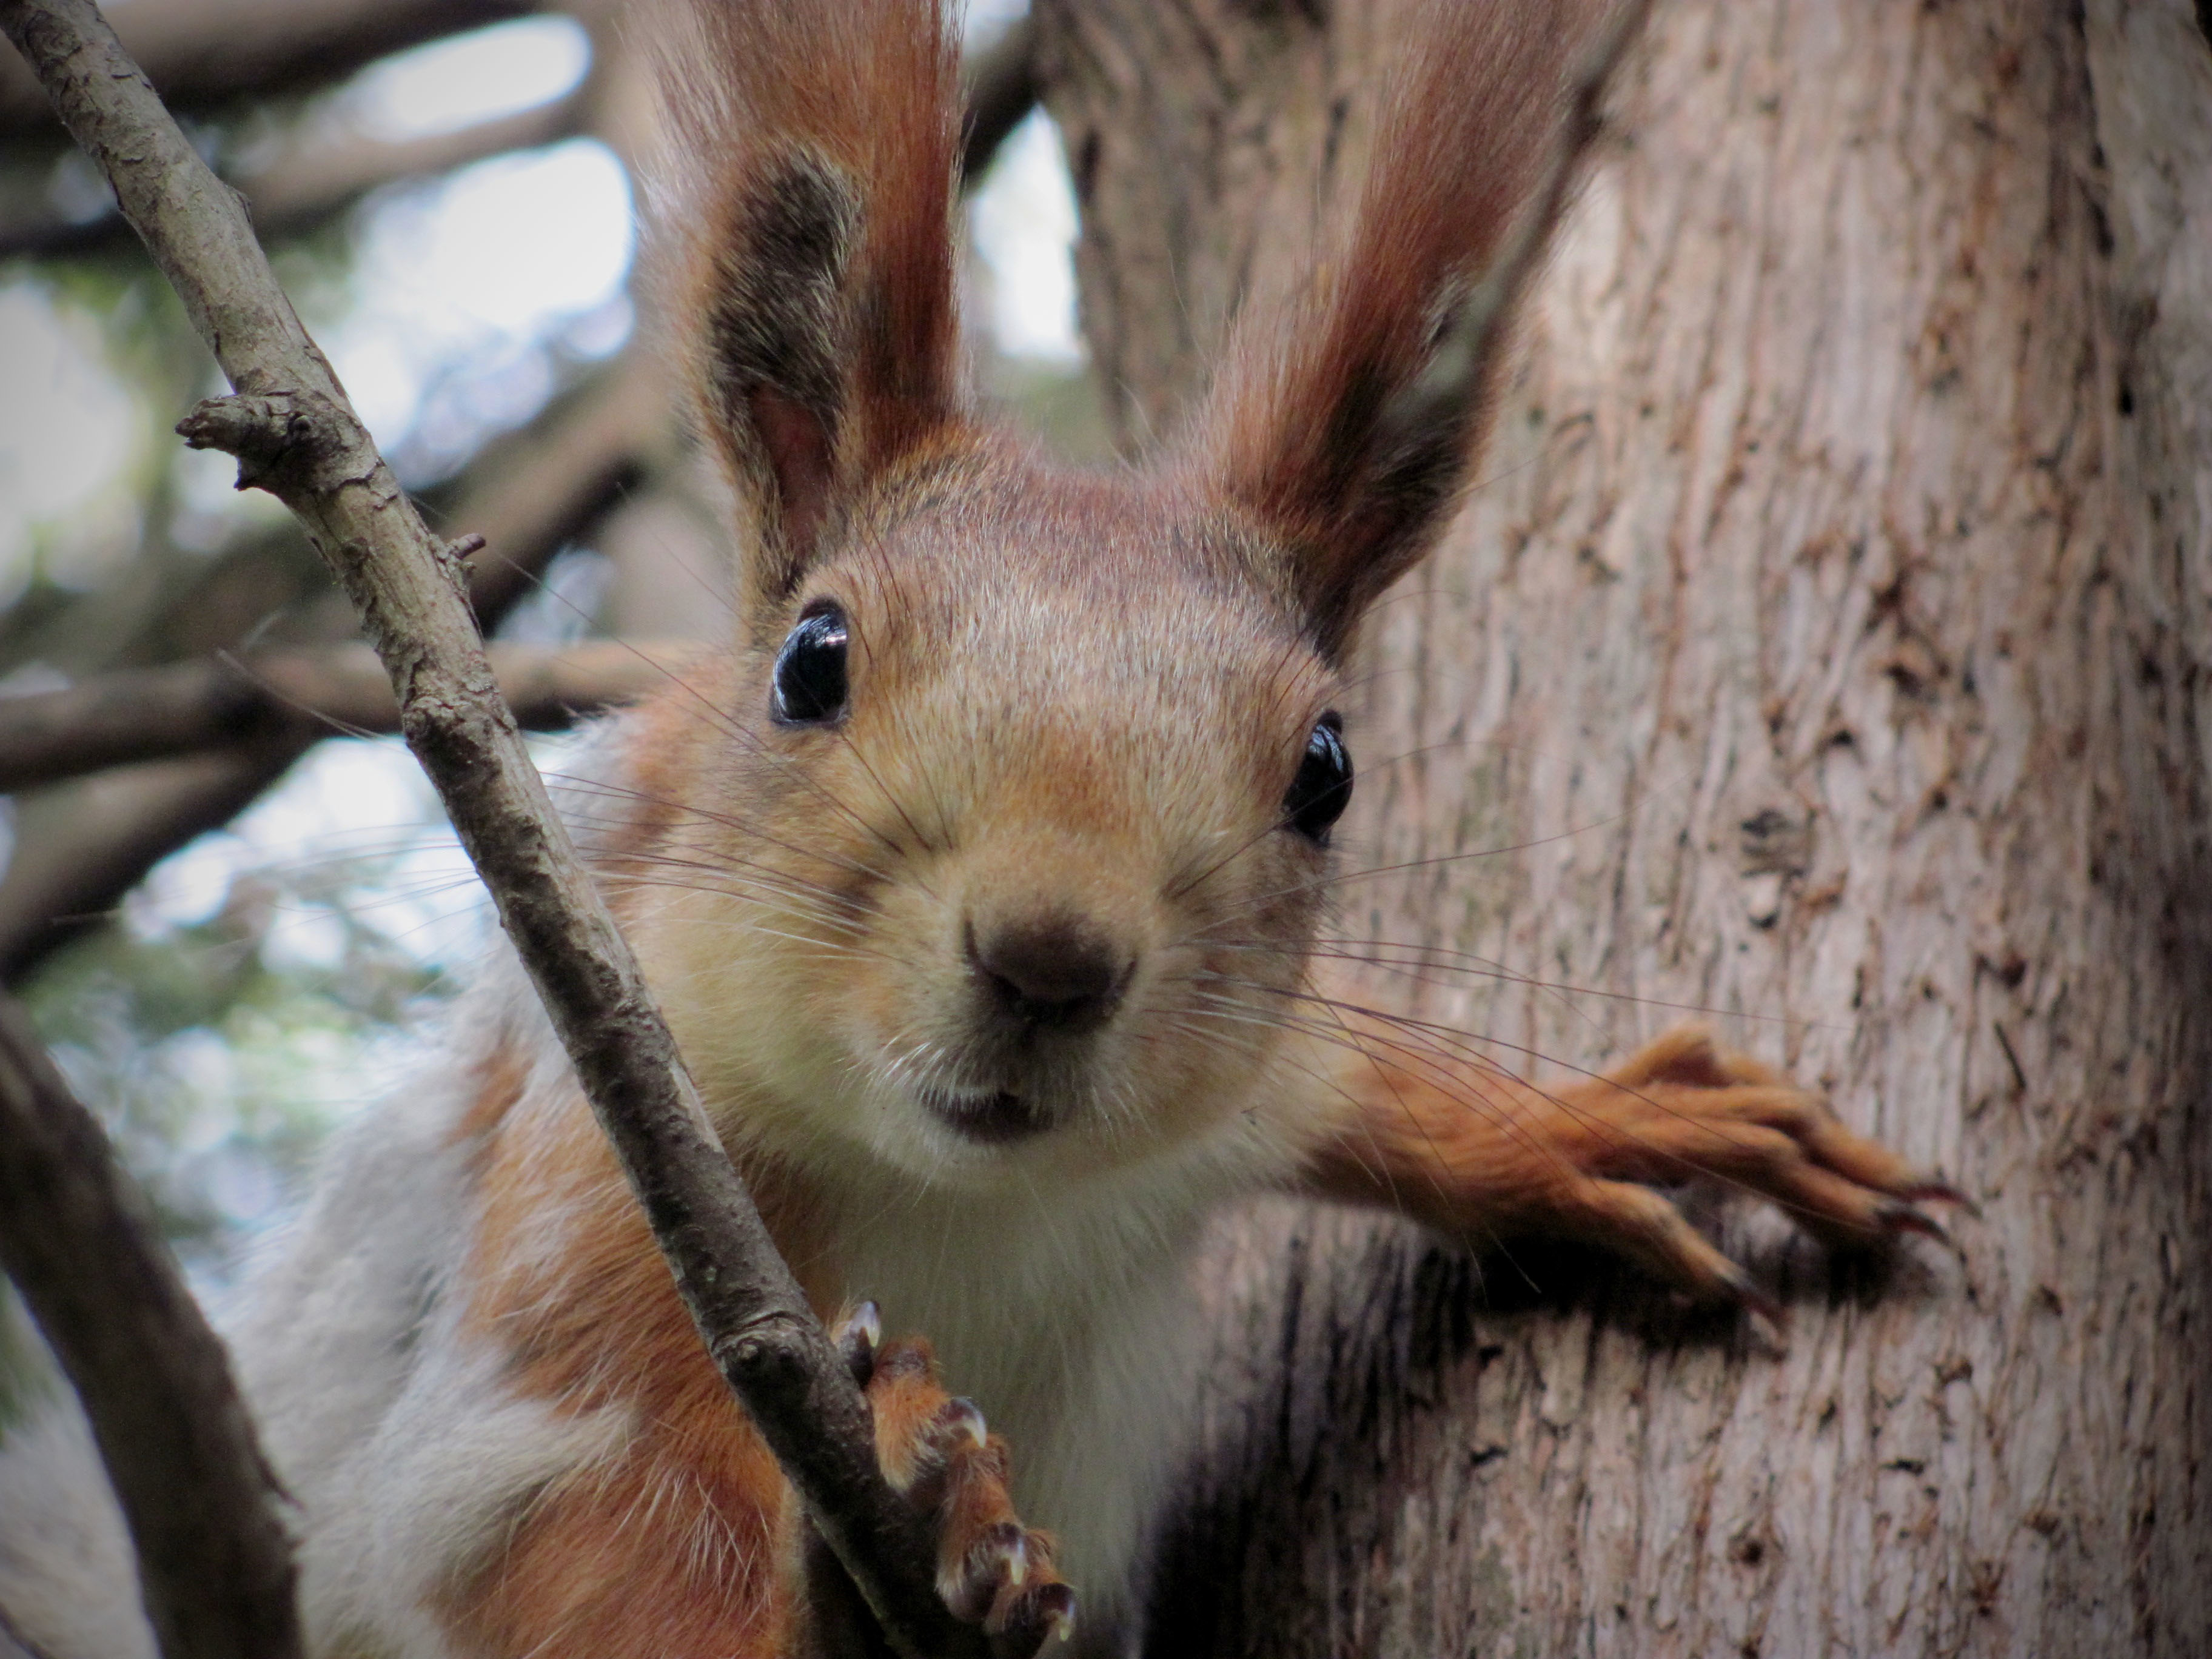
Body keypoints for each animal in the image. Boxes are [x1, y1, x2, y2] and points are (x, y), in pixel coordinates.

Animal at [0, 3, 1955, 1659]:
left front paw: (1575, 1127)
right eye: (813, 664)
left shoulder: (1237, 1083)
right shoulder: (594, 1208)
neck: (967, 1192)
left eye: (1327, 767)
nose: (1052, 954)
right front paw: (907, 1538)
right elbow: (572, 1539)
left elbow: (1345, 1070)